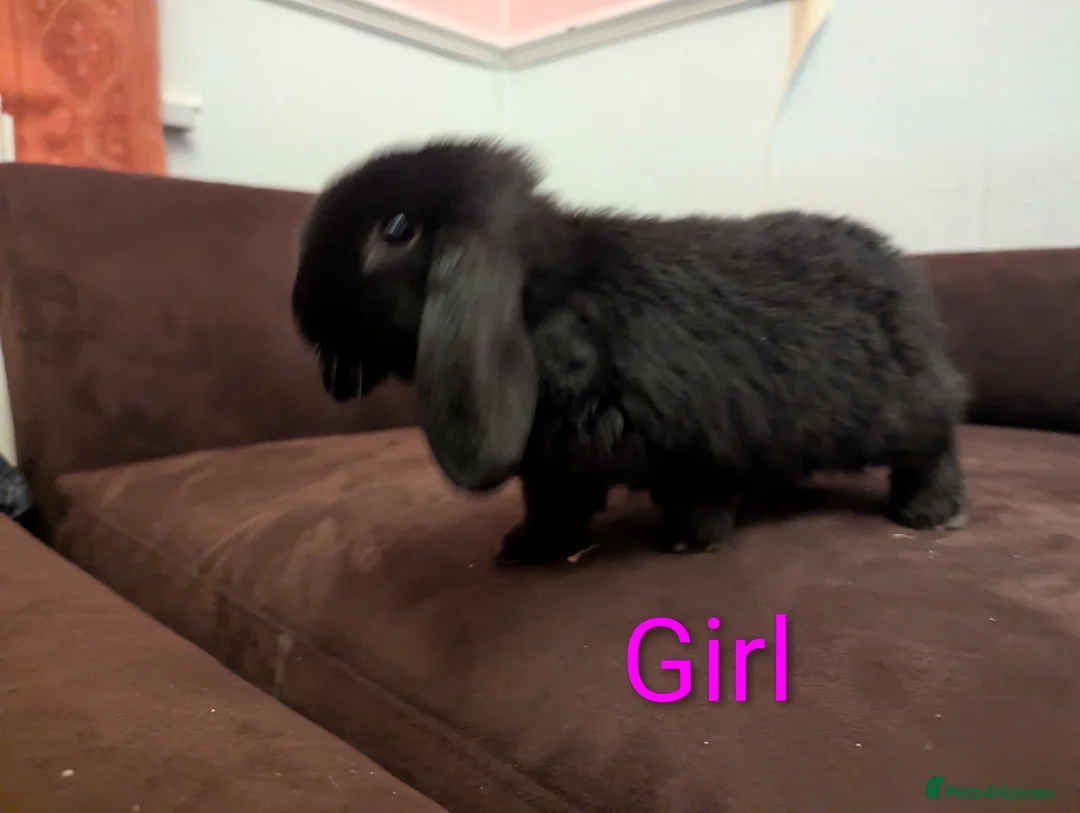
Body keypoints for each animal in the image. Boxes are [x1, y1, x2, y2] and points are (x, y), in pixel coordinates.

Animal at [291, 137, 970, 565]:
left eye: (396, 229)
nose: (300, 309)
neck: (548, 301)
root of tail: (904, 274)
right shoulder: (553, 467)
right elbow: (553, 508)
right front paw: (524, 548)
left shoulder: (691, 441)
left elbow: (697, 497)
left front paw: (691, 544)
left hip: (899, 410)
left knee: (937, 441)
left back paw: (931, 514)